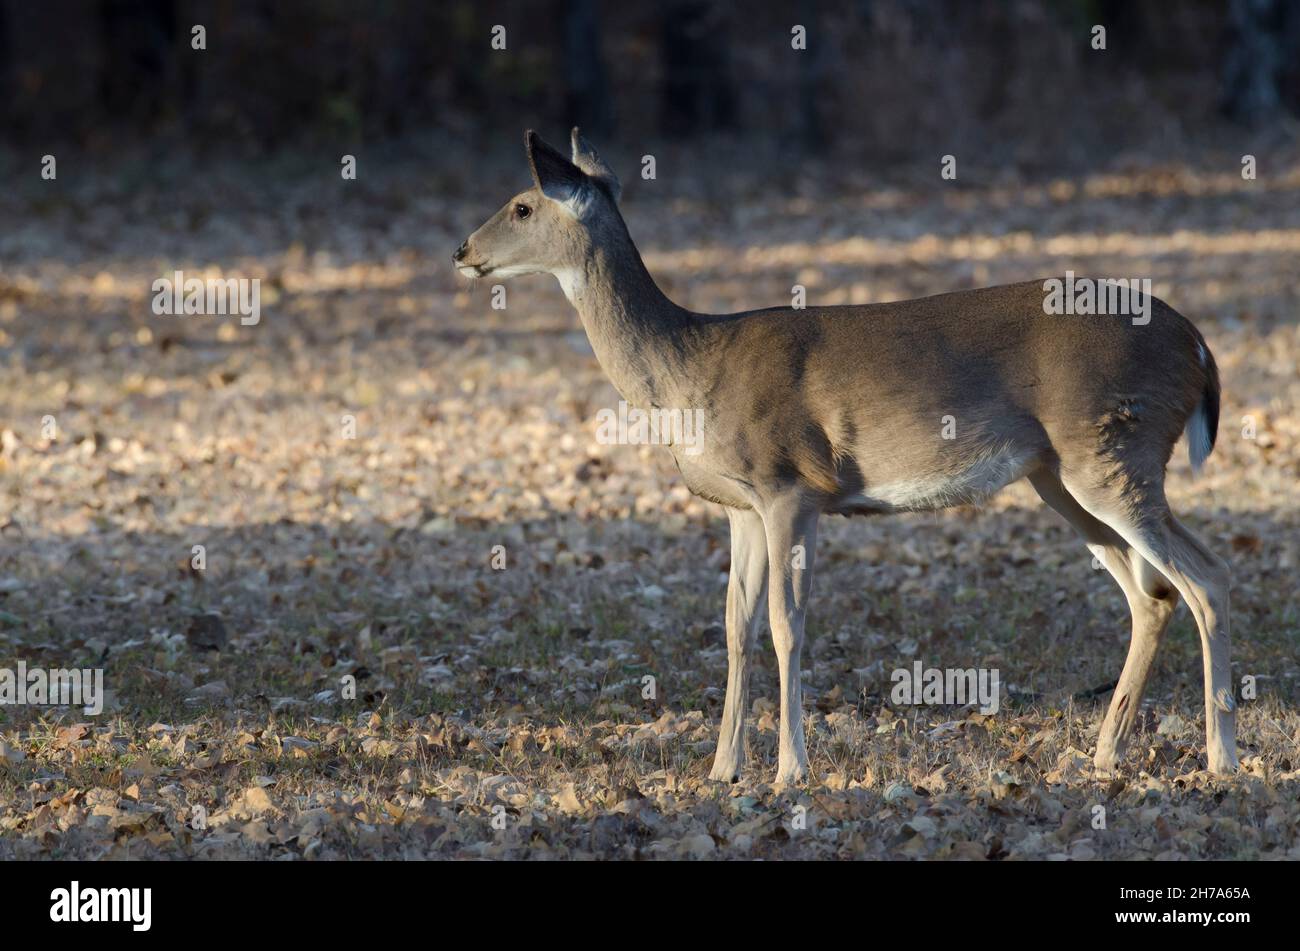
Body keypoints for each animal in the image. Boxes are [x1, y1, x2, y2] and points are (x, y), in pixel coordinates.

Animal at [453, 128, 1238, 785]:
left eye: (522, 204)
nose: (462, 251)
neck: (688, 371)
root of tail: (1199, 344)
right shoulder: (741, 505)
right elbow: (734, 625)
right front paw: (722, 769)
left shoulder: (791, 486)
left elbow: (785, 624)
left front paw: (789, 769)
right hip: (1061, 474)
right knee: (1152, 594)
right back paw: (1103, 754)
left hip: (1114, 447)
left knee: (1206, 577)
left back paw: (1221, 756)